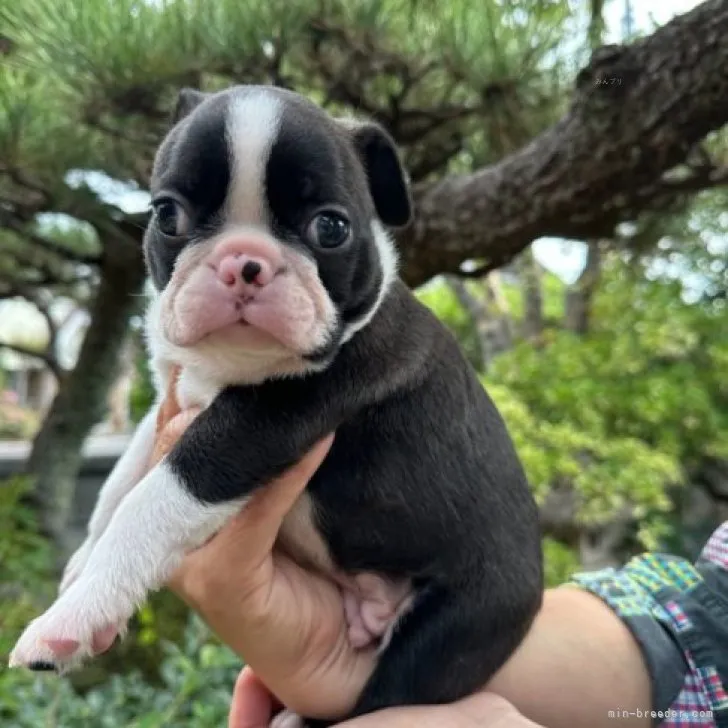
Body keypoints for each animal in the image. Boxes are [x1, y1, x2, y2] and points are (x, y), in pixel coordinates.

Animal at [8, 84, 544, 724]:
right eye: (167, 214)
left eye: (331, 228)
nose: (244, 261)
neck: (226, 366)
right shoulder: (171, 396)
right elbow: (120, 481)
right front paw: (81, 563)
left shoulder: (259, 423)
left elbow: (150, 501)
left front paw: (71, 618)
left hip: (456, 629)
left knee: (389, 691)